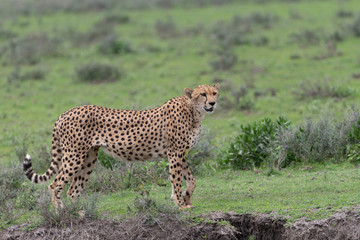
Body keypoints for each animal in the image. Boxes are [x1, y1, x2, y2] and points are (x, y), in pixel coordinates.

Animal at [23, 84, 219, 210]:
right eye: (203, 94)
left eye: (215, 93)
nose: (212, 103)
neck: (193, 111)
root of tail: (65, 113)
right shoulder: (175, 153)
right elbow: (177, 180)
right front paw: (180, 204)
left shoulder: (181, 154)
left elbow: (191, 179)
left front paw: (187, 198)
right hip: (74, 155)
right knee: (54, 185)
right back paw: (61, 212)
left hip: (89, 157)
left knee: (73, 190)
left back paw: (78, 212)